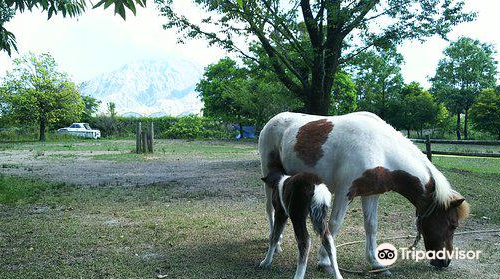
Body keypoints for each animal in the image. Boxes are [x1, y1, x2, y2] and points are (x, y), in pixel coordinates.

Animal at [260, 112, 470, 278]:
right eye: (452, 225)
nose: (444, 262)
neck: (380, 148)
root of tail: (273, 120)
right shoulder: (344, 192)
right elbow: (333, 225)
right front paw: (324, 261)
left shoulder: (371, 194)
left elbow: (371, 226)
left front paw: (376, 263)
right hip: (269, 177)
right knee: (270, 209)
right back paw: (275, 244)